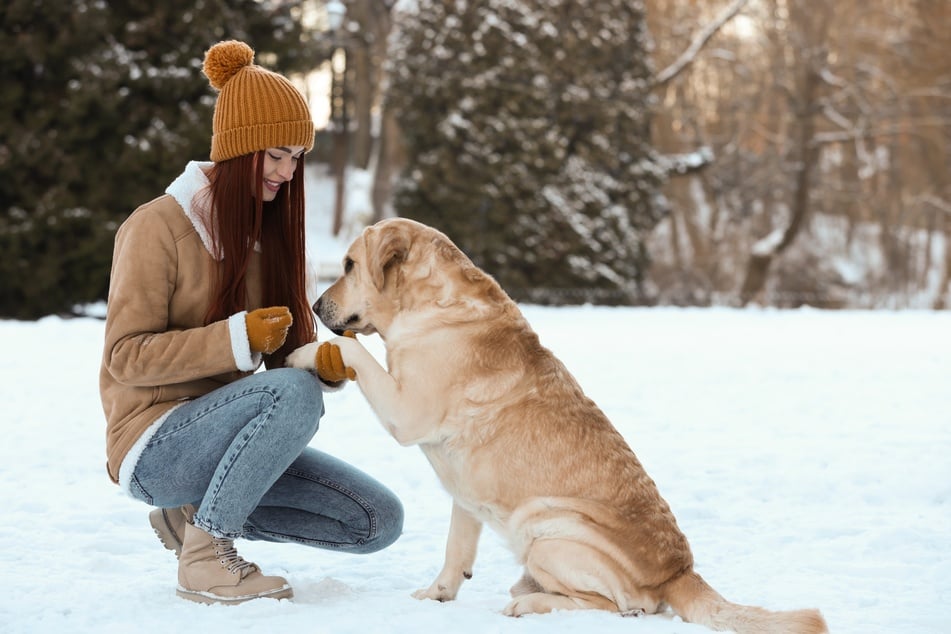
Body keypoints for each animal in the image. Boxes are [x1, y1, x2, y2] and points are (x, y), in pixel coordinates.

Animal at [286, 218, 828, 632]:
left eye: (349, 266)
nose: (313, 306)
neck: (431, 305)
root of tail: (681, 572)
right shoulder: (463, 495)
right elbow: (455, 551)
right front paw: (436, 595)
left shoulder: (406, 410)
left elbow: (351, 348)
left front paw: (303, 351)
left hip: (547, 531)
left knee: (621, 607)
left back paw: (528, 602)